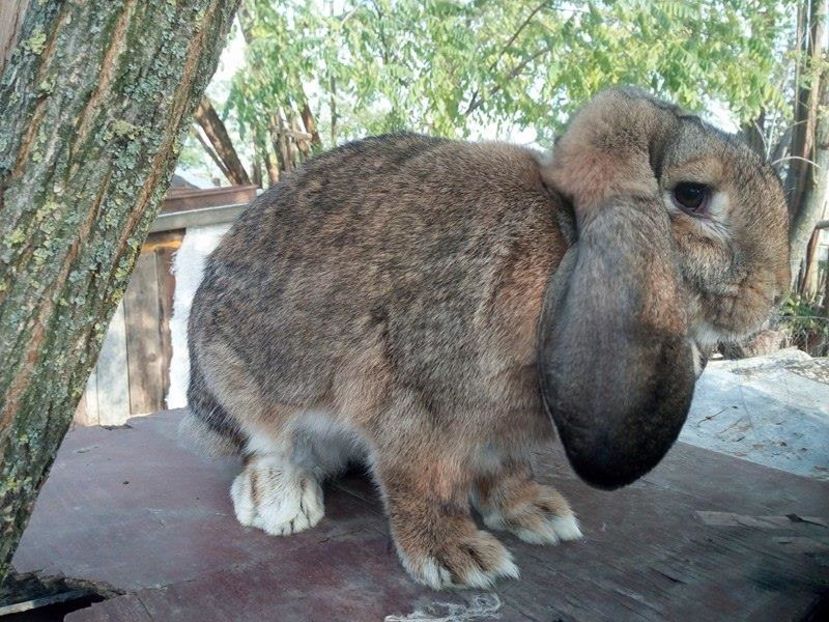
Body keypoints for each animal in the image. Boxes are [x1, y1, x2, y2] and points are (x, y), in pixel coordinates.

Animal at [181, 86, 788, 588]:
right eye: (692, 195)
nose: (776, 293)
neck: (564, 242)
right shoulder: (416, 410)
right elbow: (420, 486)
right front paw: (457, 557)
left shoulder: (503, 433)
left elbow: (505, 474)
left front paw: (539, 514)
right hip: (234, 383)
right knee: (262, 446)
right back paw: (281, 501)